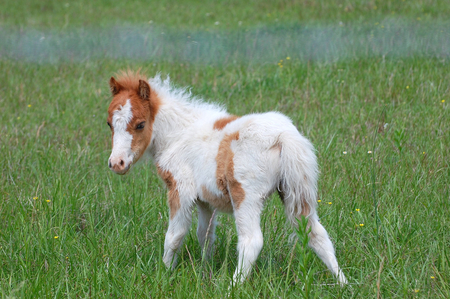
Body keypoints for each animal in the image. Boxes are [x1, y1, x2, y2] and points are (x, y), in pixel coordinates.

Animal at [106, 70, 348, 286]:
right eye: (109, 123)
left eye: (140, 124)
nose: (117, 164)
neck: (179, 135)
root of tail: (284, 136)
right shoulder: (205, 201)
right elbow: (205, 235)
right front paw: (205, 269)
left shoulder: (180, 190)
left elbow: (175, 235)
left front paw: (164, 274)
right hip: (296, 191)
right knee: (317, 234)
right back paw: (343, 283)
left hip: (245, 196)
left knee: (252, 241)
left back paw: (233, 286)